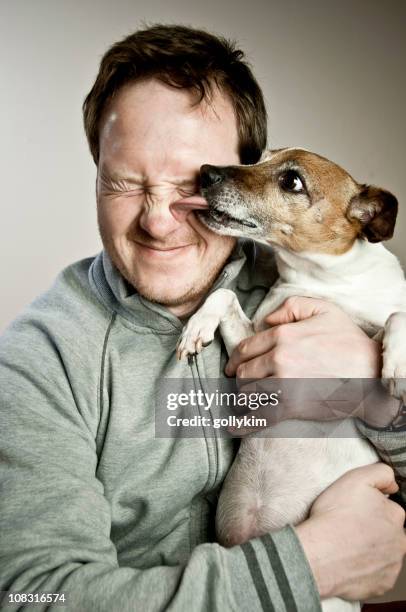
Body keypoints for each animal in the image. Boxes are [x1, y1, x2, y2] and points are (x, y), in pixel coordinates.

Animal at [176, 148, 404, 612]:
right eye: (260, 158)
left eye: (292, 182)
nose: (206, 172)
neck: (322, 282)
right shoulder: (249, 344)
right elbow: (223, 295)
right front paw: (196, 328)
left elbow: (396, 315)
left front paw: (395, 364)